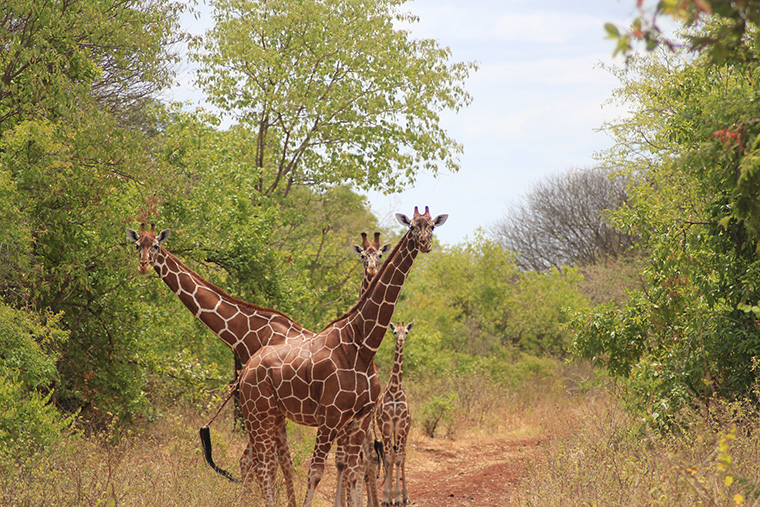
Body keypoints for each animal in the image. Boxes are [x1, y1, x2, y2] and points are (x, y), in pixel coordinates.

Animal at [230, 206, 446, 507]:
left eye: (432, 227)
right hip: (258, 412)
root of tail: (247, 367)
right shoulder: (331, 416)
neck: (361, 345)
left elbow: (355, 470)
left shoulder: (358, 419)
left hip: (271, 414)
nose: (425, 244)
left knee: (263, 464)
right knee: (261, 465)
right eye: (413, 227)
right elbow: (315, 472)